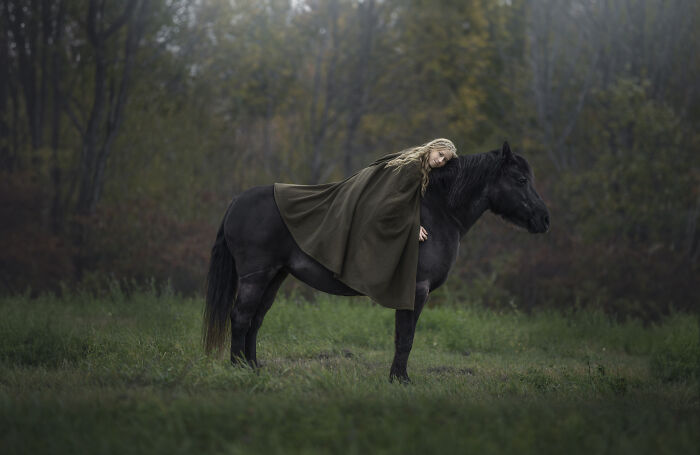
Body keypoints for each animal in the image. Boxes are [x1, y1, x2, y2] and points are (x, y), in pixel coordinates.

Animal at [203, 142, 550, 383]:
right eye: (521, 179)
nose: (544, 219)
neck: (436, 212)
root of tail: (237, 201)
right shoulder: (416, 290)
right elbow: (406, 337)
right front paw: (401, 380)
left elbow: (401, 336)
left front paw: (396, 377)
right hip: (256, 276)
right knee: (241, 317)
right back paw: (238, 368)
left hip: (275, 276)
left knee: (256, 319)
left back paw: (252, 366)